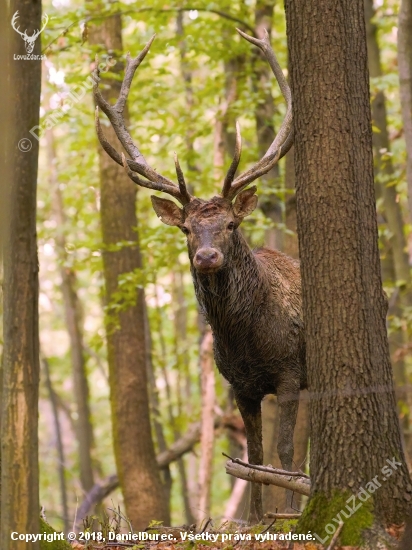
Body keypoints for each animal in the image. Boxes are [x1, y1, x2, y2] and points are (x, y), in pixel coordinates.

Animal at [92, 27, 306, 528]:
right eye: (187, 229)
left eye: (229, 224)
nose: (207, 256)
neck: (247, 339)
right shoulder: (239, 385)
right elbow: (254, 456)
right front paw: (253, 520)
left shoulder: (288, 371)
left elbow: (285, 449)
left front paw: (288, 516)